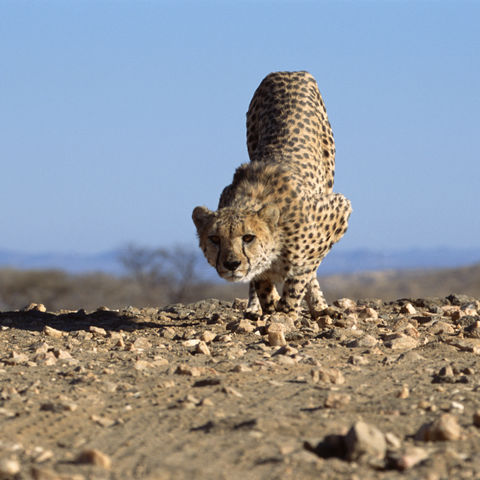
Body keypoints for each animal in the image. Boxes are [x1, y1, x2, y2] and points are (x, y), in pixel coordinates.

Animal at [192, 70, 352, 318]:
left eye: (248, 237)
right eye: (215, 239)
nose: (231, 264)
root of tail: (289, 71)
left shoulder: (339, 210)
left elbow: (300, 276)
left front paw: (286, 313)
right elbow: (262, 283)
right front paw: (269, 306)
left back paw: (318, 306)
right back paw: (255, 306)